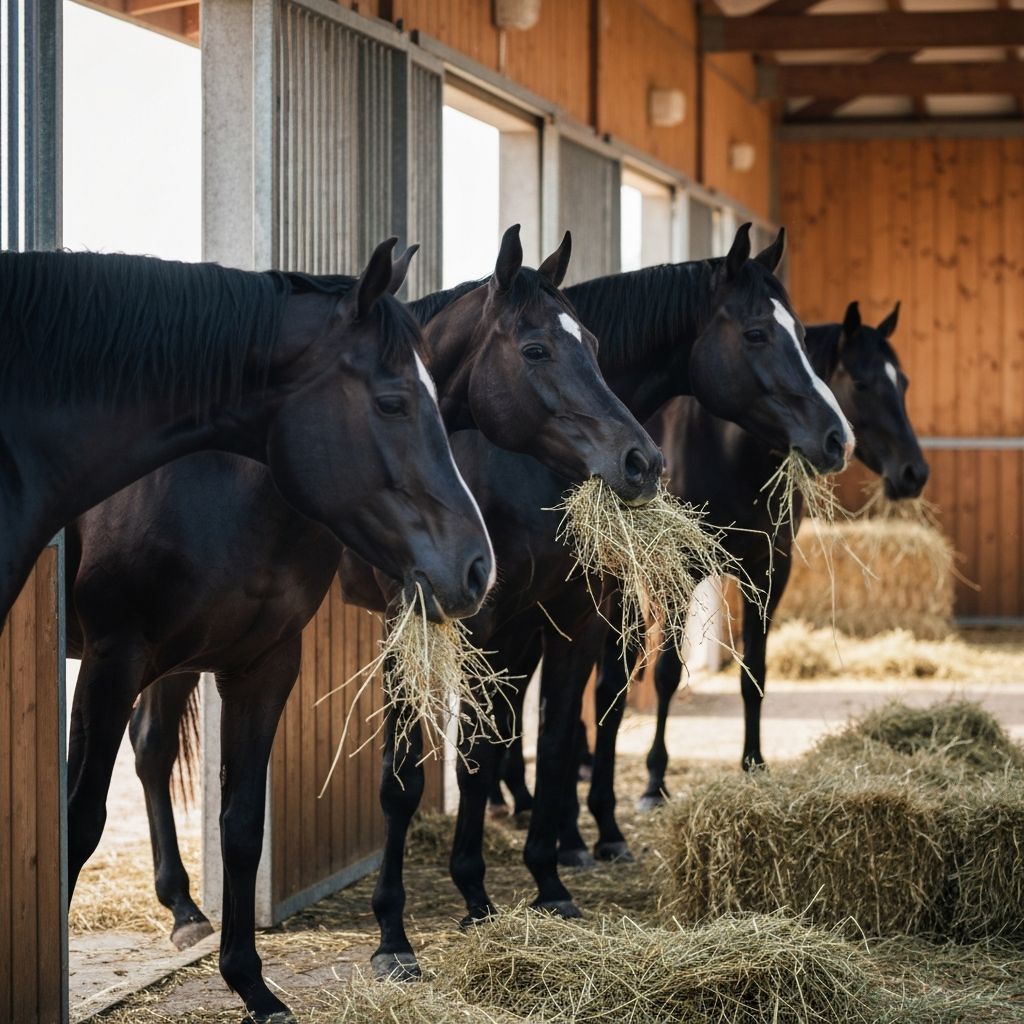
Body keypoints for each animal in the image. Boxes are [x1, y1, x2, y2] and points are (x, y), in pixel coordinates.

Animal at [64, 227, 662, 1023]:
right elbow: (409, 779)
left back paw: (186, 911)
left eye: (592, 342)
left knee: (156, 746)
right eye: (536, 349)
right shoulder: (118, 658)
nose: (643, 460)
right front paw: (399, 938)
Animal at [495, 300, 928, 869]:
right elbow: (664, 676)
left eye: (903, 383)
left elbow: (754, 673)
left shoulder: (770, 571)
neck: (730, 450)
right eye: (860, 382)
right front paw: (653, 783)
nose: (914, 473)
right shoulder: (679, 571)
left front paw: (754, 765)